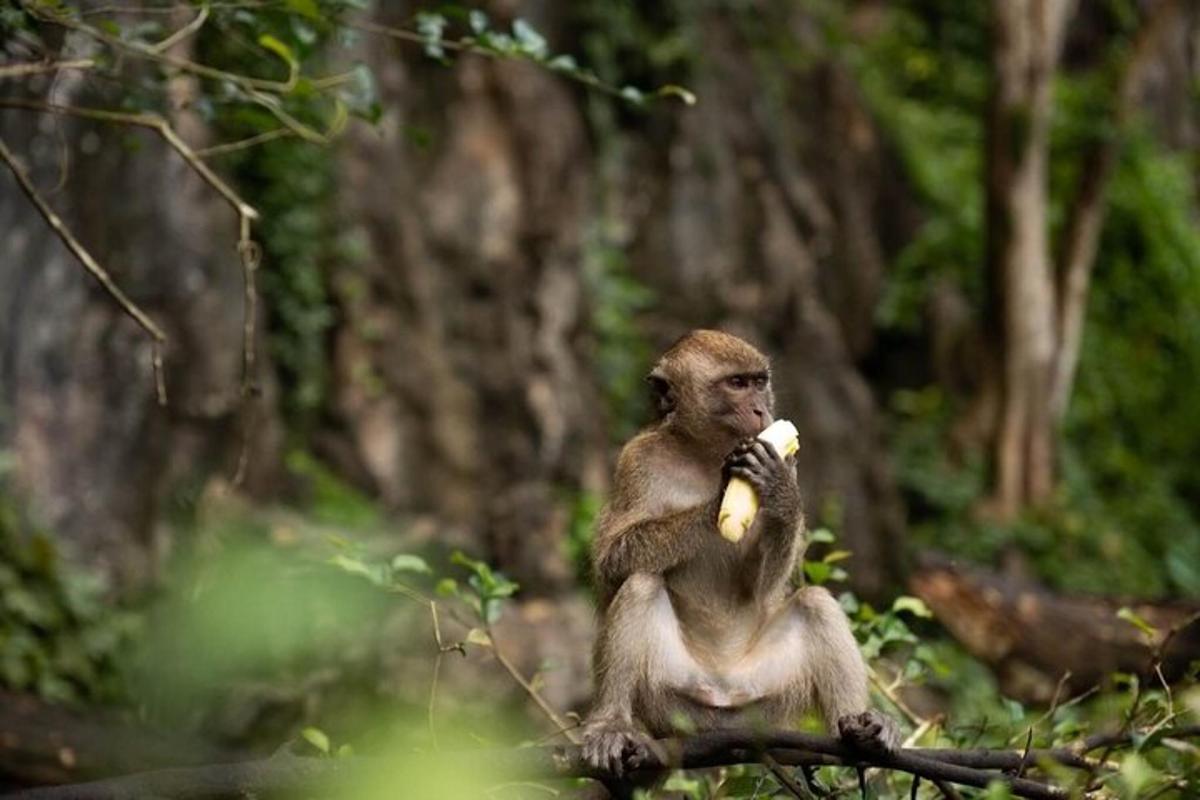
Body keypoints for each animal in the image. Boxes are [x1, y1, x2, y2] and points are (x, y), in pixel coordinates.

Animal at [576, 331, 897, 777]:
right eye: (737, 384)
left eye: (760, 381)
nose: (762, 409)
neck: (704, 454)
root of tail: (723, 700)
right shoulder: (636, 462)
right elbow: (611, 564)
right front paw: (718, 502)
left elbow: (764, 587)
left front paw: (778, 491)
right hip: (670, 698)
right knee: (640, 585)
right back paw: (609, 724)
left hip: (767, 698)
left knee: (815, 602)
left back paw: (859, 728)